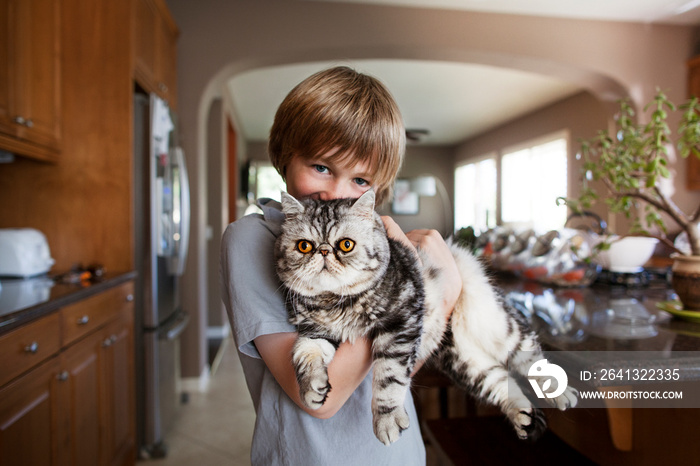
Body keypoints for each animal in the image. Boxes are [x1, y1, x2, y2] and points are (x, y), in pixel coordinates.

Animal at [272, 189, 576, 444]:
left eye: (346, 245)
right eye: (304, 246)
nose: (323, 251)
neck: (333, 302)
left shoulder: (400, 323)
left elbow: (388, 377)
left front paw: (387, 420)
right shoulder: (315, 333)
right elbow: (304, 356)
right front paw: (311, 389)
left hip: (497, 325)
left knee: (530, 356)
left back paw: (560, 393)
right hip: (464, 363)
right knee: (501, 380)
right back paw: (522, 416)